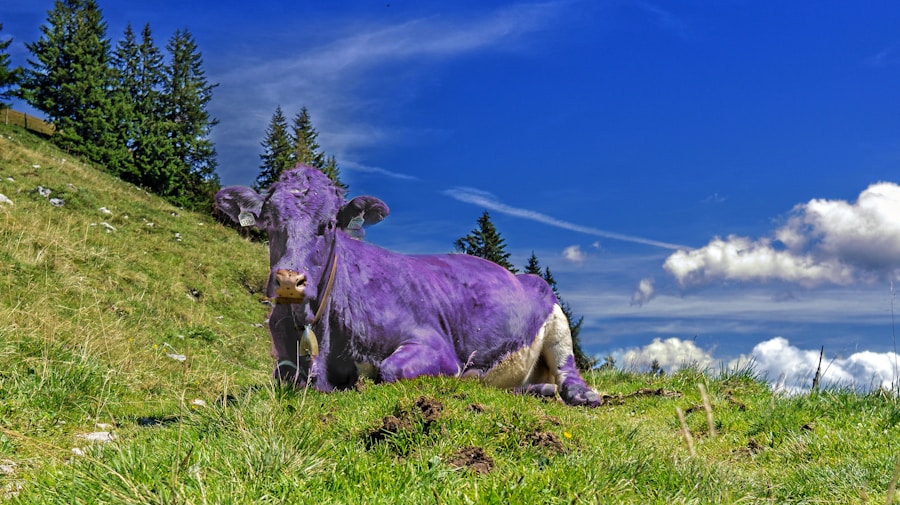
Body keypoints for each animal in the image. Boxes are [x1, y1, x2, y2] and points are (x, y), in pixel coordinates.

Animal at [215, 165, 601, 407]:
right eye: (269, 222)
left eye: (328, 225)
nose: (288, 280)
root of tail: (521, 276)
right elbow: (282, 373)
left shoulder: (434, 345)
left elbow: (388, 370)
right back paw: (537, 388)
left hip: (557, 320)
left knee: (568, 371)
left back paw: (581, 394)